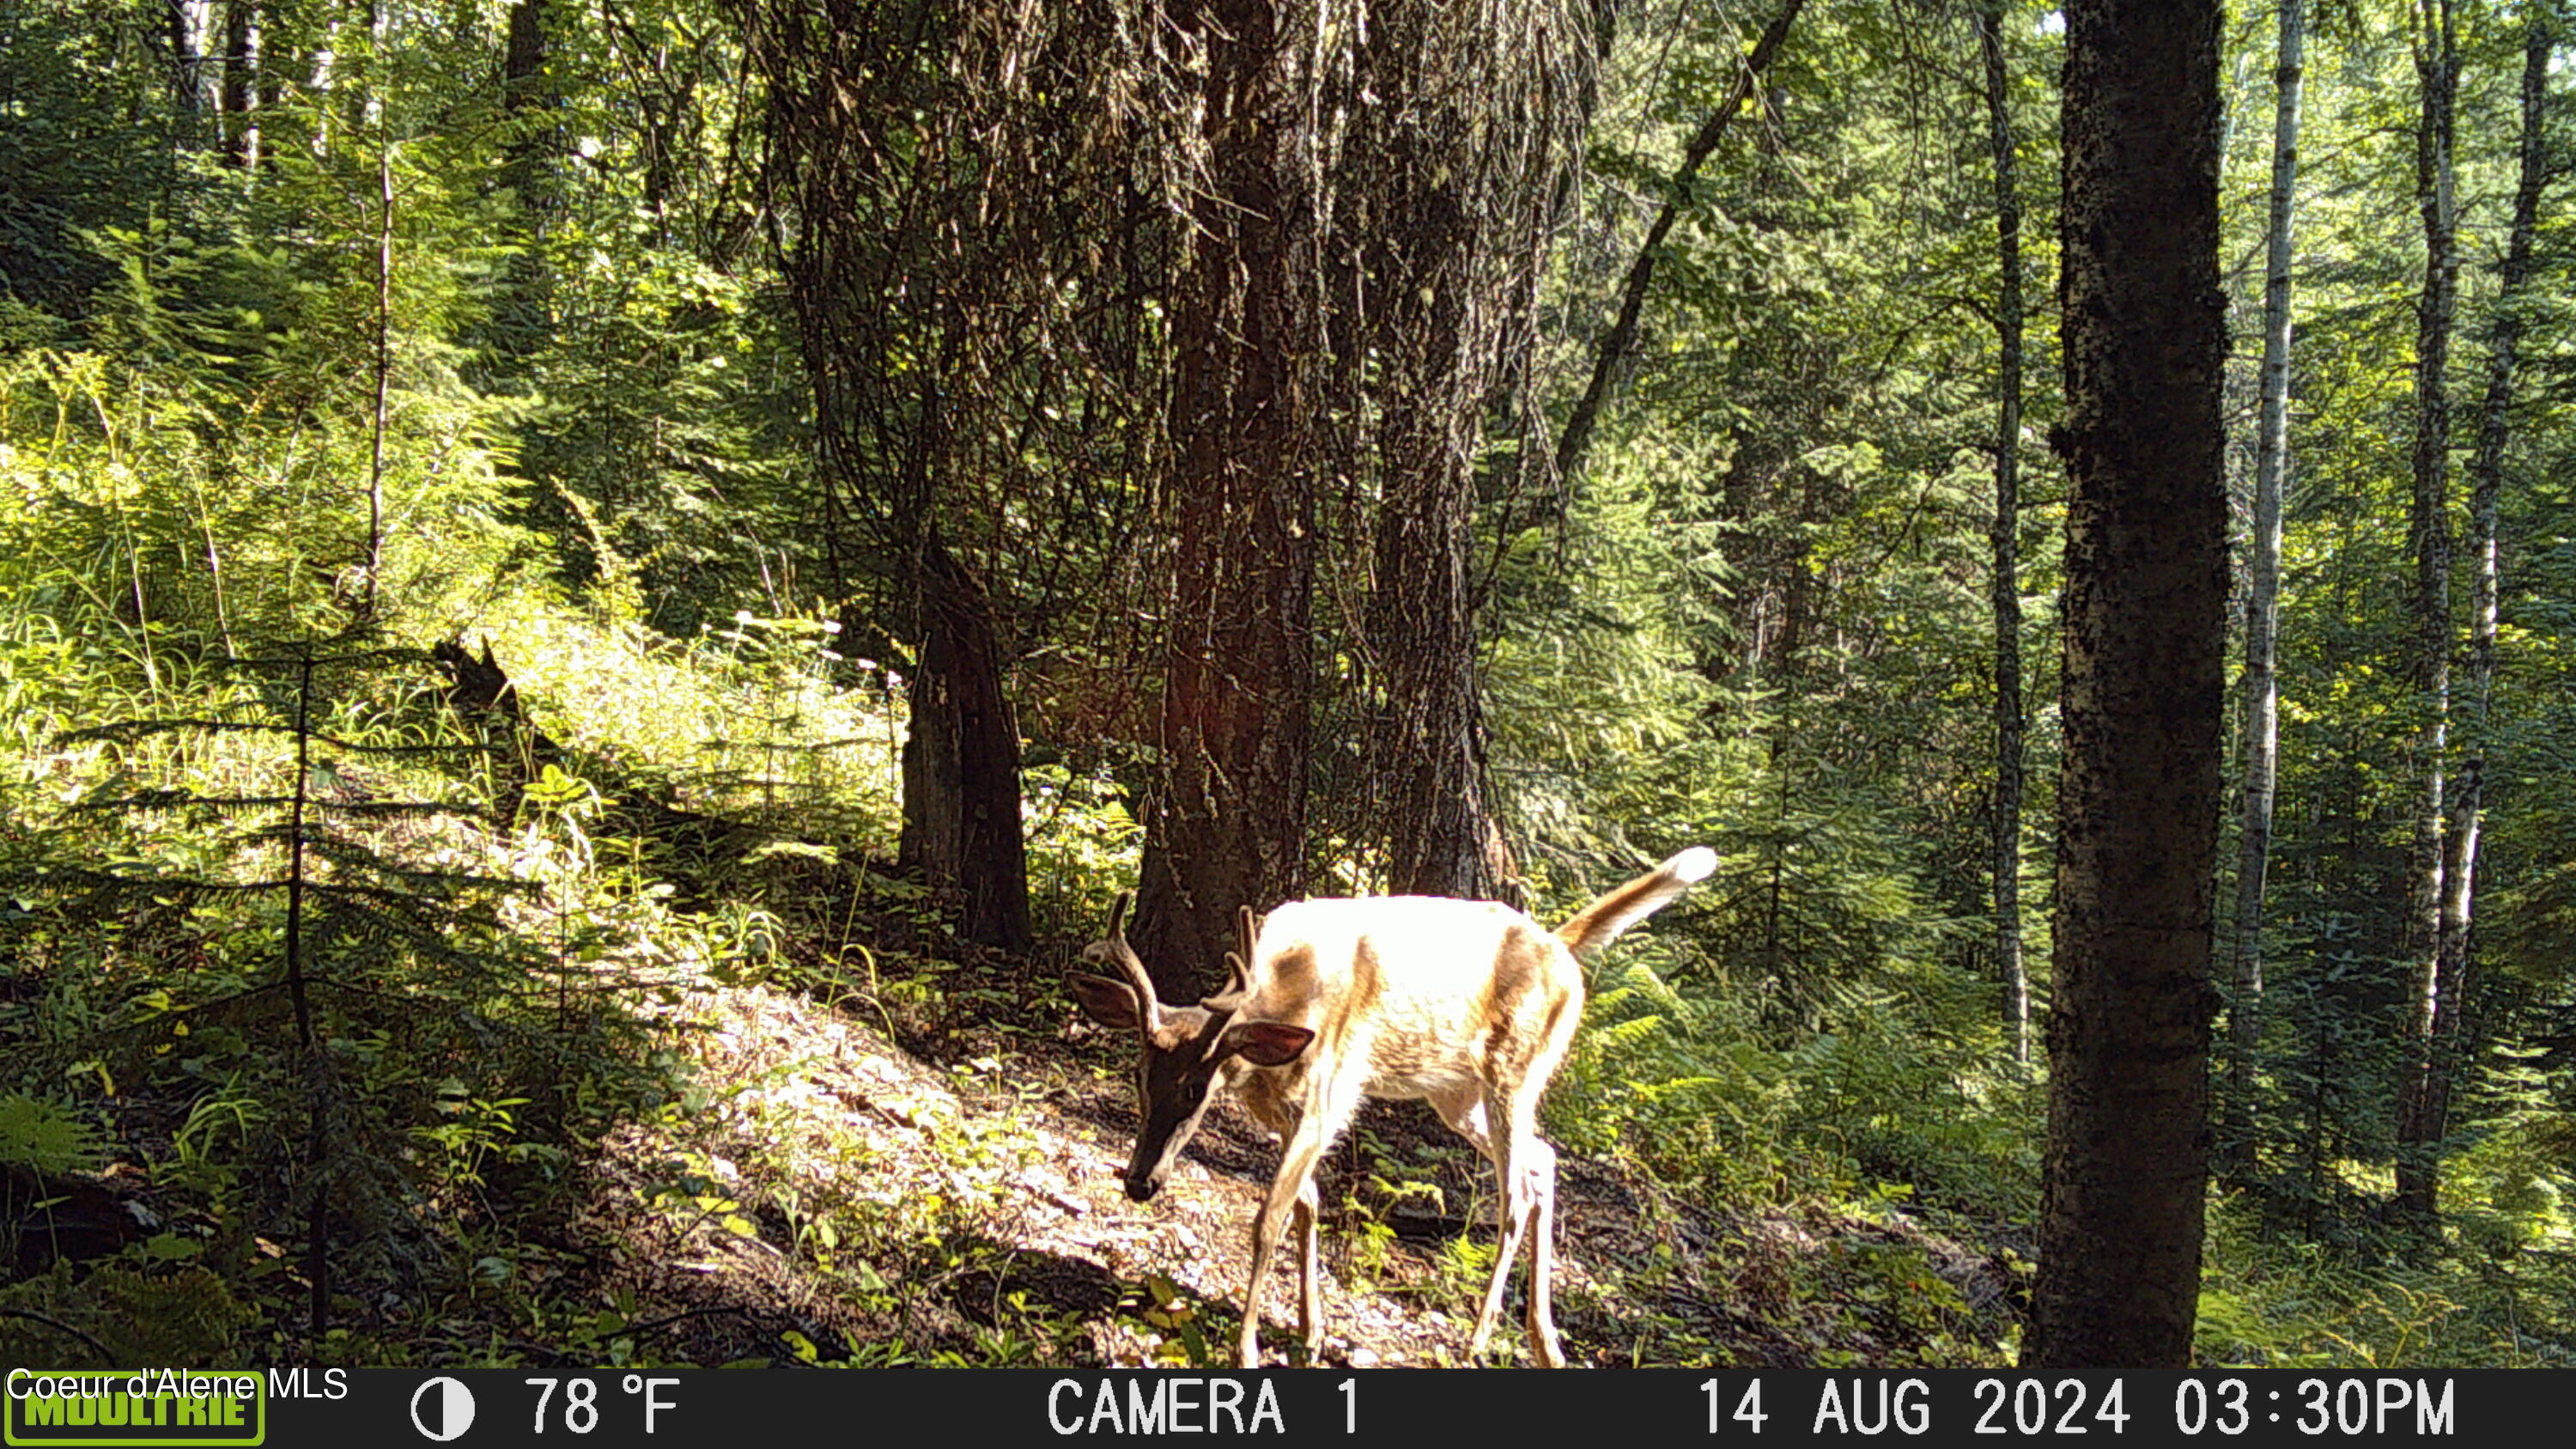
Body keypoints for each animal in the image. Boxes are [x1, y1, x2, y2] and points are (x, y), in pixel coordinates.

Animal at [1066, 840, 1710, 1361]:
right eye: (1140, 1074)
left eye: (1195, 1088)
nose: (1140, 1182)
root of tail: (1562, 948)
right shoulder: (1287, 1113)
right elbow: (1309, 1203)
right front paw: (1310, 1331)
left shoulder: (1325, 1097)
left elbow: (1269, 1217)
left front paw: (1247, 1348)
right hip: (1456, 1093)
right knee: (1545, 1159)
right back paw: (1543, 1342)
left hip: (1513, 1071)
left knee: (1516, 1194)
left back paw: (1479, 1339)